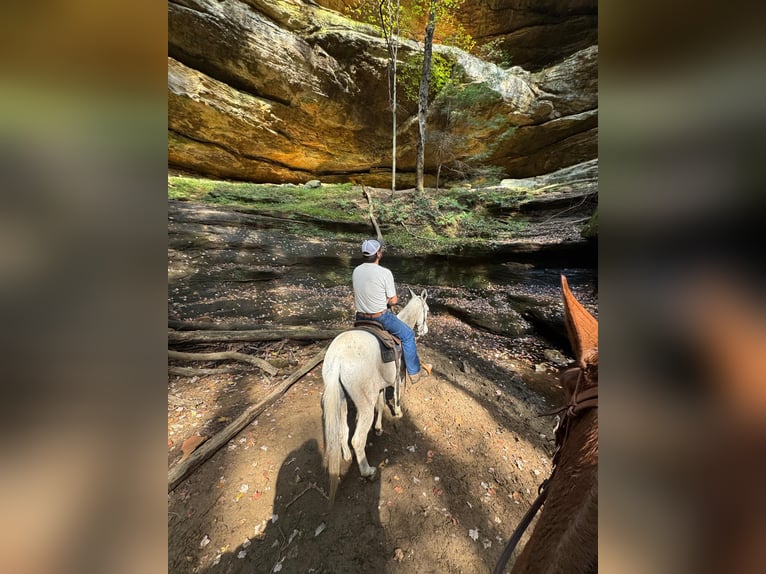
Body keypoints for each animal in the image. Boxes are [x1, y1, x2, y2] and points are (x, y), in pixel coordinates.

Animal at [324, 288, 432, 504]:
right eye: (427, 310)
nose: (425, 331)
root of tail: (337, 358)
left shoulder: (380, 387)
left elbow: (381, 405)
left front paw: (380, 427)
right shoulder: (399, 375)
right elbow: (397, 395)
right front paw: (398, 412)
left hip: (341, 401)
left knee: (343, 430)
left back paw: (347, 455)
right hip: (364, 405)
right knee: (358, 439)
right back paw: (368, 471)